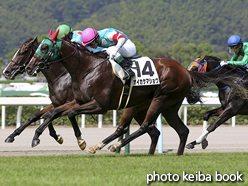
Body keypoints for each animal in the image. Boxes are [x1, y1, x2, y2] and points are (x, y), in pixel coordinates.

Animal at [24, 31, 244, 155]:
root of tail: (185, 71)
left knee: (147, 126)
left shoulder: (99, 105)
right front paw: (38, 137)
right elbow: (57, 113)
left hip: (161, 98)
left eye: (45, 47)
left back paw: (111, 146)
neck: (86, 69)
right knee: (178, 130)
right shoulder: (77, 101)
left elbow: (68, 114)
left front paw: (81, 141)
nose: (29, 67)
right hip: (161, 106)